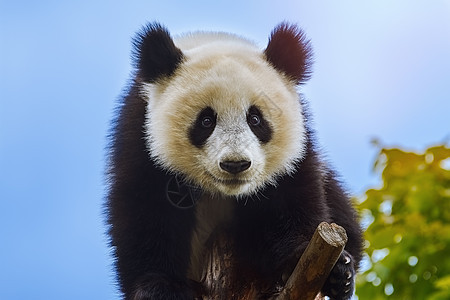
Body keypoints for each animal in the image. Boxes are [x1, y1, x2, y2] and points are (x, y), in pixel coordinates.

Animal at [107, 21, 364, 300]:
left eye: (255, 119)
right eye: (206, 121)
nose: (235, 164)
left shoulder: (297, 147)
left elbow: (289, 199)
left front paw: (309, 262)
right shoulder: (140, 133)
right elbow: (147, 208)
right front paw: (160, 287)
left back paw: (341, 276)